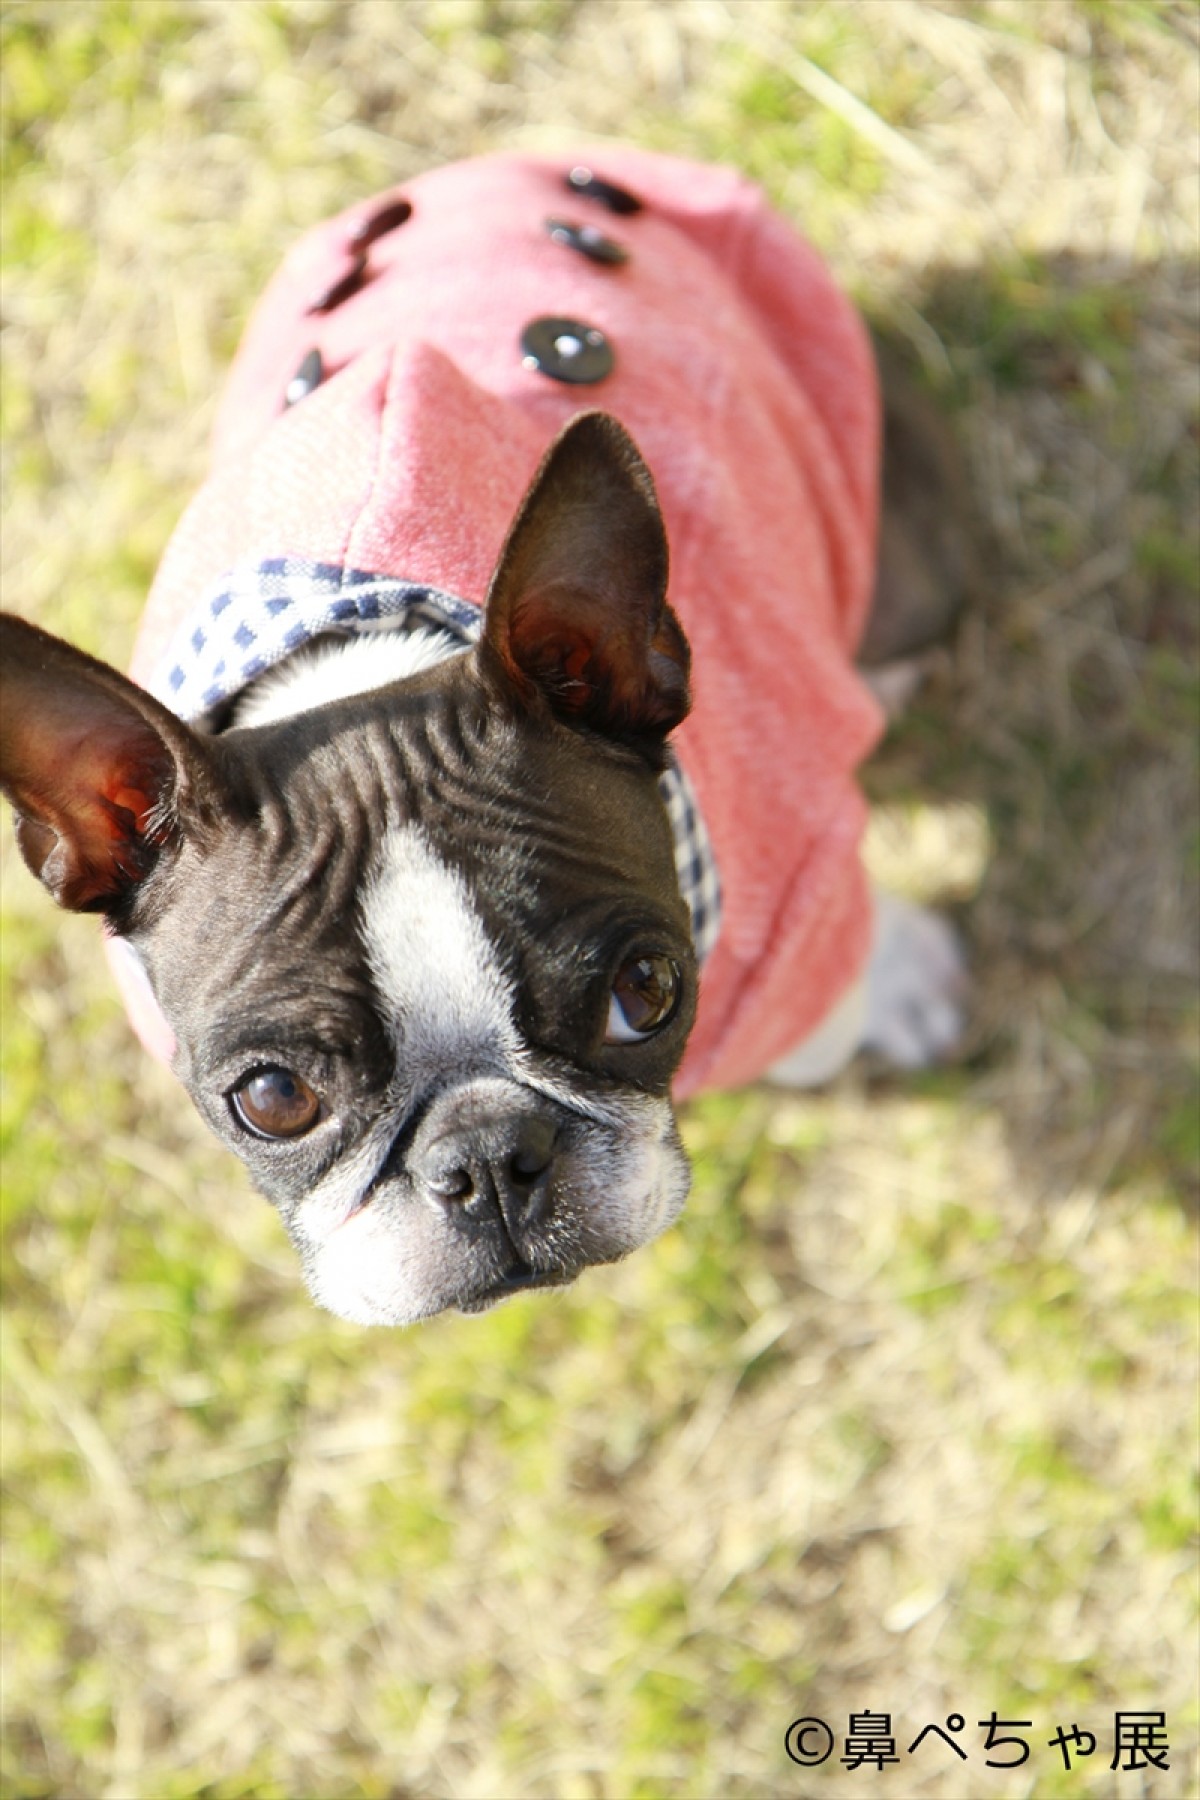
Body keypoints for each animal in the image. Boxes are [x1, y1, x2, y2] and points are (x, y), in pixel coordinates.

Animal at [0, 151, 964, 1324]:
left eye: (647, 992)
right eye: (271, 1099)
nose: (488, 1158)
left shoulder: (796, 902)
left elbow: (834, 988)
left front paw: (900, 978)